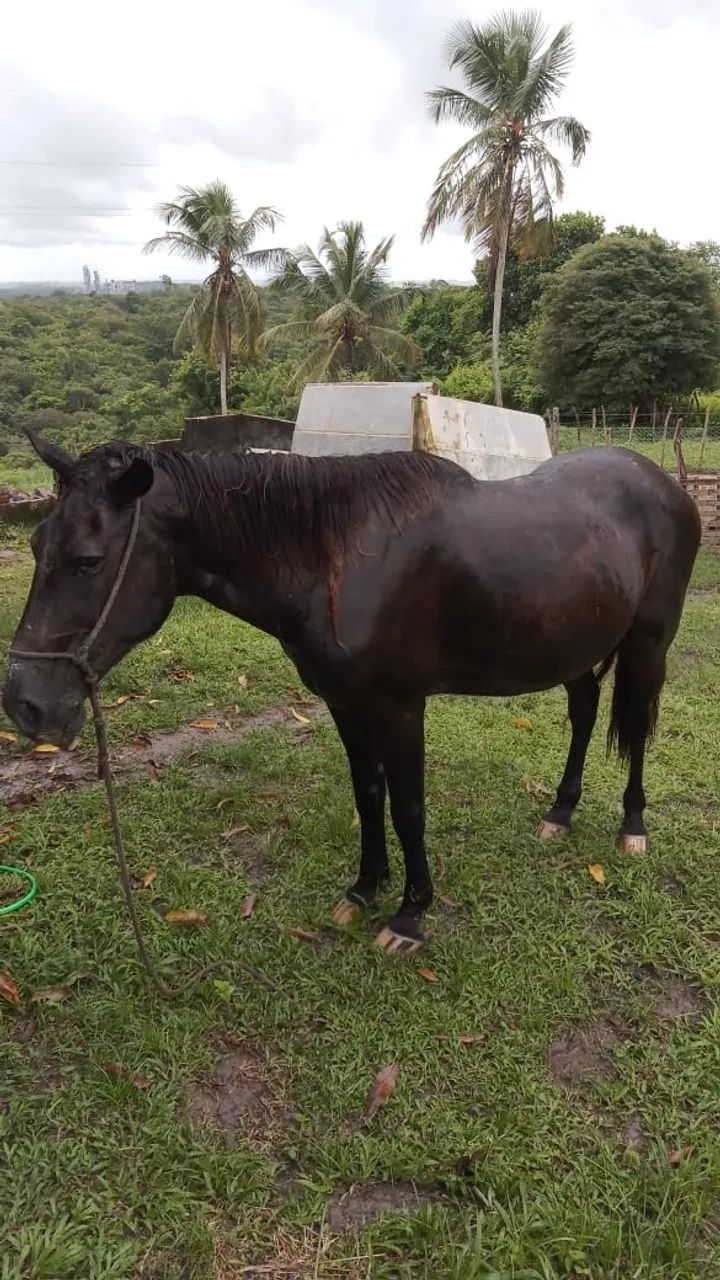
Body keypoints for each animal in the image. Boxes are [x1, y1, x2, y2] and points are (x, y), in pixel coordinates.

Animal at [3, 432, 700, 954]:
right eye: (36, 544)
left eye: (90, 560)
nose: (24, 705)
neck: (337, 561)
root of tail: (666, 485)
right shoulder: (346, 703)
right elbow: (369, 797)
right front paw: (364, 891)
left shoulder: (401, 708)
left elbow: (408, 807)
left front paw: (410, 915)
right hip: (574, 646)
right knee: (585, 713)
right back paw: (559, 813)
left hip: (648, 645)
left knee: (639, 726)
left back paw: (632, 826)